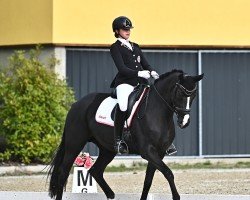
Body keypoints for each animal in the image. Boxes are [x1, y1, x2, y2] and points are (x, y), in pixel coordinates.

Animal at [48, 69, 203, 199]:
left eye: (194, 96)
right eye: (180, 94)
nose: (184, 122)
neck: (157, 112)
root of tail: (76, 105)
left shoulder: (159, 153)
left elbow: (148, 180)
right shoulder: (148, 151)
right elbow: (168, 173)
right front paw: (176, 197)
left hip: (107, 149)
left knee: (96, 171)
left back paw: (111, 195)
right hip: (75, 144)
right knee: (63, 172)